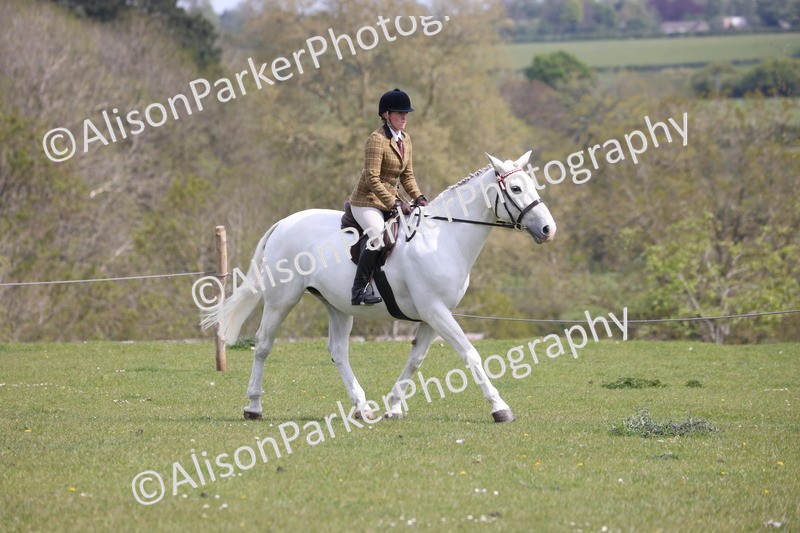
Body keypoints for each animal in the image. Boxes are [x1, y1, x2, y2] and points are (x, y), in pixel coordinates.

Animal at [201, 151, 556, 423]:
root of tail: (284, 222)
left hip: (338, 304)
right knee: (262, 344)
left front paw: (394, 407)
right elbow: (470, 354)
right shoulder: (436, 311)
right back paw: (253, 406)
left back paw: (362, 407)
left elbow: (415, 361)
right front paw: (500, 408)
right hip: (281, 300)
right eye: (515, 188)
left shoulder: (432, 316)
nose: (548, 229)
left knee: (338, 351)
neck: (443, 237)